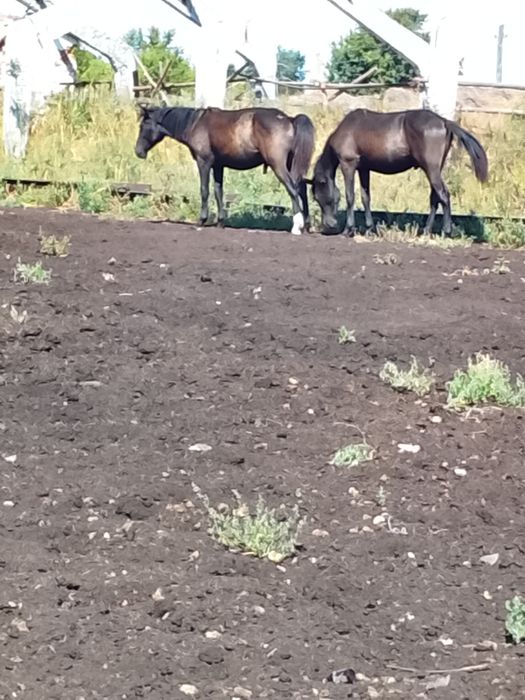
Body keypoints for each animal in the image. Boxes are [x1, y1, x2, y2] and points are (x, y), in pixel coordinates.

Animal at [134, 104, 315, 235]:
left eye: (144, 125)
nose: (138, 151)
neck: (196, 124)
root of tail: (289, 119)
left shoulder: (204, 162)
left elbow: (204, 190)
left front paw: (202, 220)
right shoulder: (218, 166)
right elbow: (218, 191)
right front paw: (220, 221)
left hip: (278, 165)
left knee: (292, 189)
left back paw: (297, 226)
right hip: (291, 164)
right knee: (301, 189)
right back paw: (307, 225)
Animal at [309, 108, 489, 237]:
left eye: (318, 197)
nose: (329, 225)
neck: (348, 129)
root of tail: (444, 121)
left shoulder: (348, 164)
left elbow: (349, 196)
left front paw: (349, 229)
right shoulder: (364, 169)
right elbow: (366, 197)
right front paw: (369, 228)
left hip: (431, 169)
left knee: (443, 195)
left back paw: (446, 230)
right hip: (434, 169)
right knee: (434, 198)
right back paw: (426, 230)